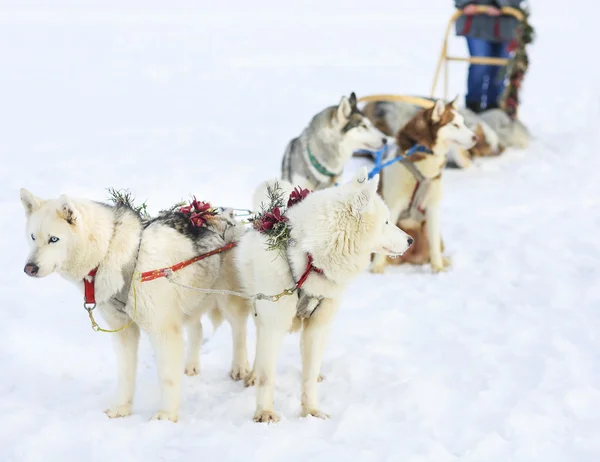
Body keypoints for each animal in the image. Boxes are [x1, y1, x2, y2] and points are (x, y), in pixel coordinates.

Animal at [18, 189, 248, 422]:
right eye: (33, 237)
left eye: (53, 239)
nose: (29, 268)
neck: (112, 252)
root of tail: (227, 215)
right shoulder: (123, 330)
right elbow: (126, 373)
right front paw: (122, 407)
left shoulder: (163, 330)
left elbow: (167, 376)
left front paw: (167, 416)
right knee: (197, 330)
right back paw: (191, 365)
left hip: (229, 301)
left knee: (239, 331)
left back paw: (241, 368)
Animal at [234, 168, 412, 424]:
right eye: (386, 221)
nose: (411, 240)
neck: (309, 261)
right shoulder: (273, 323)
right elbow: (267, 375)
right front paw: (265, 413)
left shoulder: (317, 326)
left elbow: (308, 376)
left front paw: (310, 411)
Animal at [368, 99, 476, 274]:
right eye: (455, 125)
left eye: (463, 122)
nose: (475, 137)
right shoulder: (394, 204)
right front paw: (376, 267)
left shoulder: (433, 208)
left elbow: (434, 246)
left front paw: (437, 268)